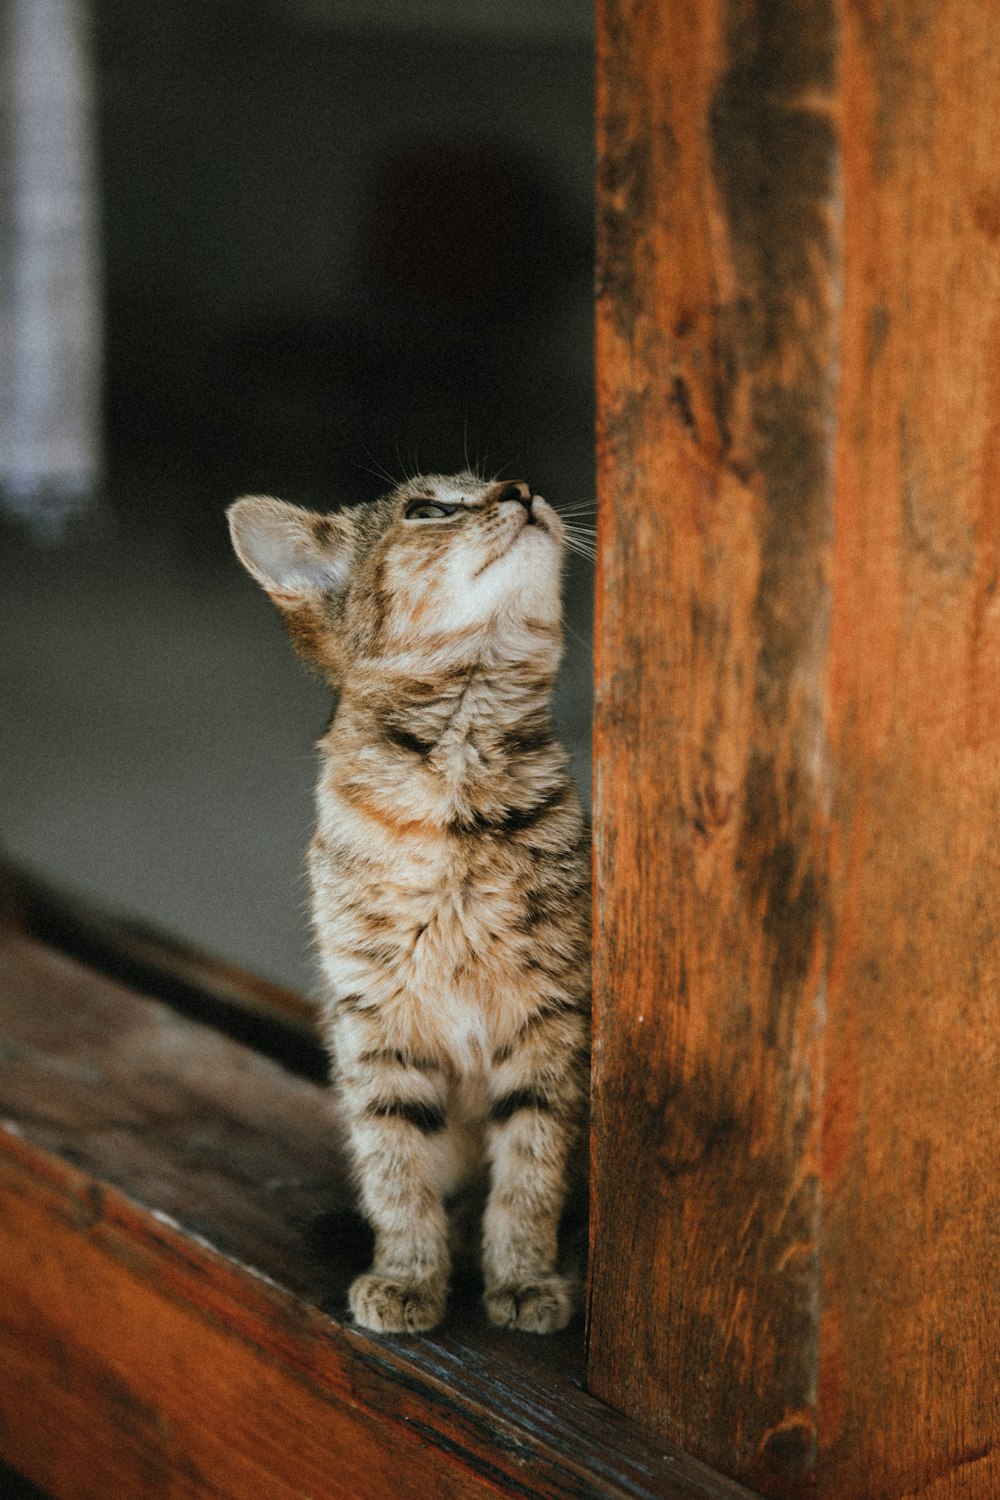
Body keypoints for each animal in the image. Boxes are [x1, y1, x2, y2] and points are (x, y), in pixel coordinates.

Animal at [229, 474, 590, 1332]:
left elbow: (531, 1169)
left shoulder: (551, 1021)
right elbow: (396, 1167)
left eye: (504, 479)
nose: (523, 489)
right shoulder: (375, 1025)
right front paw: (409, 1274)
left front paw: (524, 1276)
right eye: (429, 510)